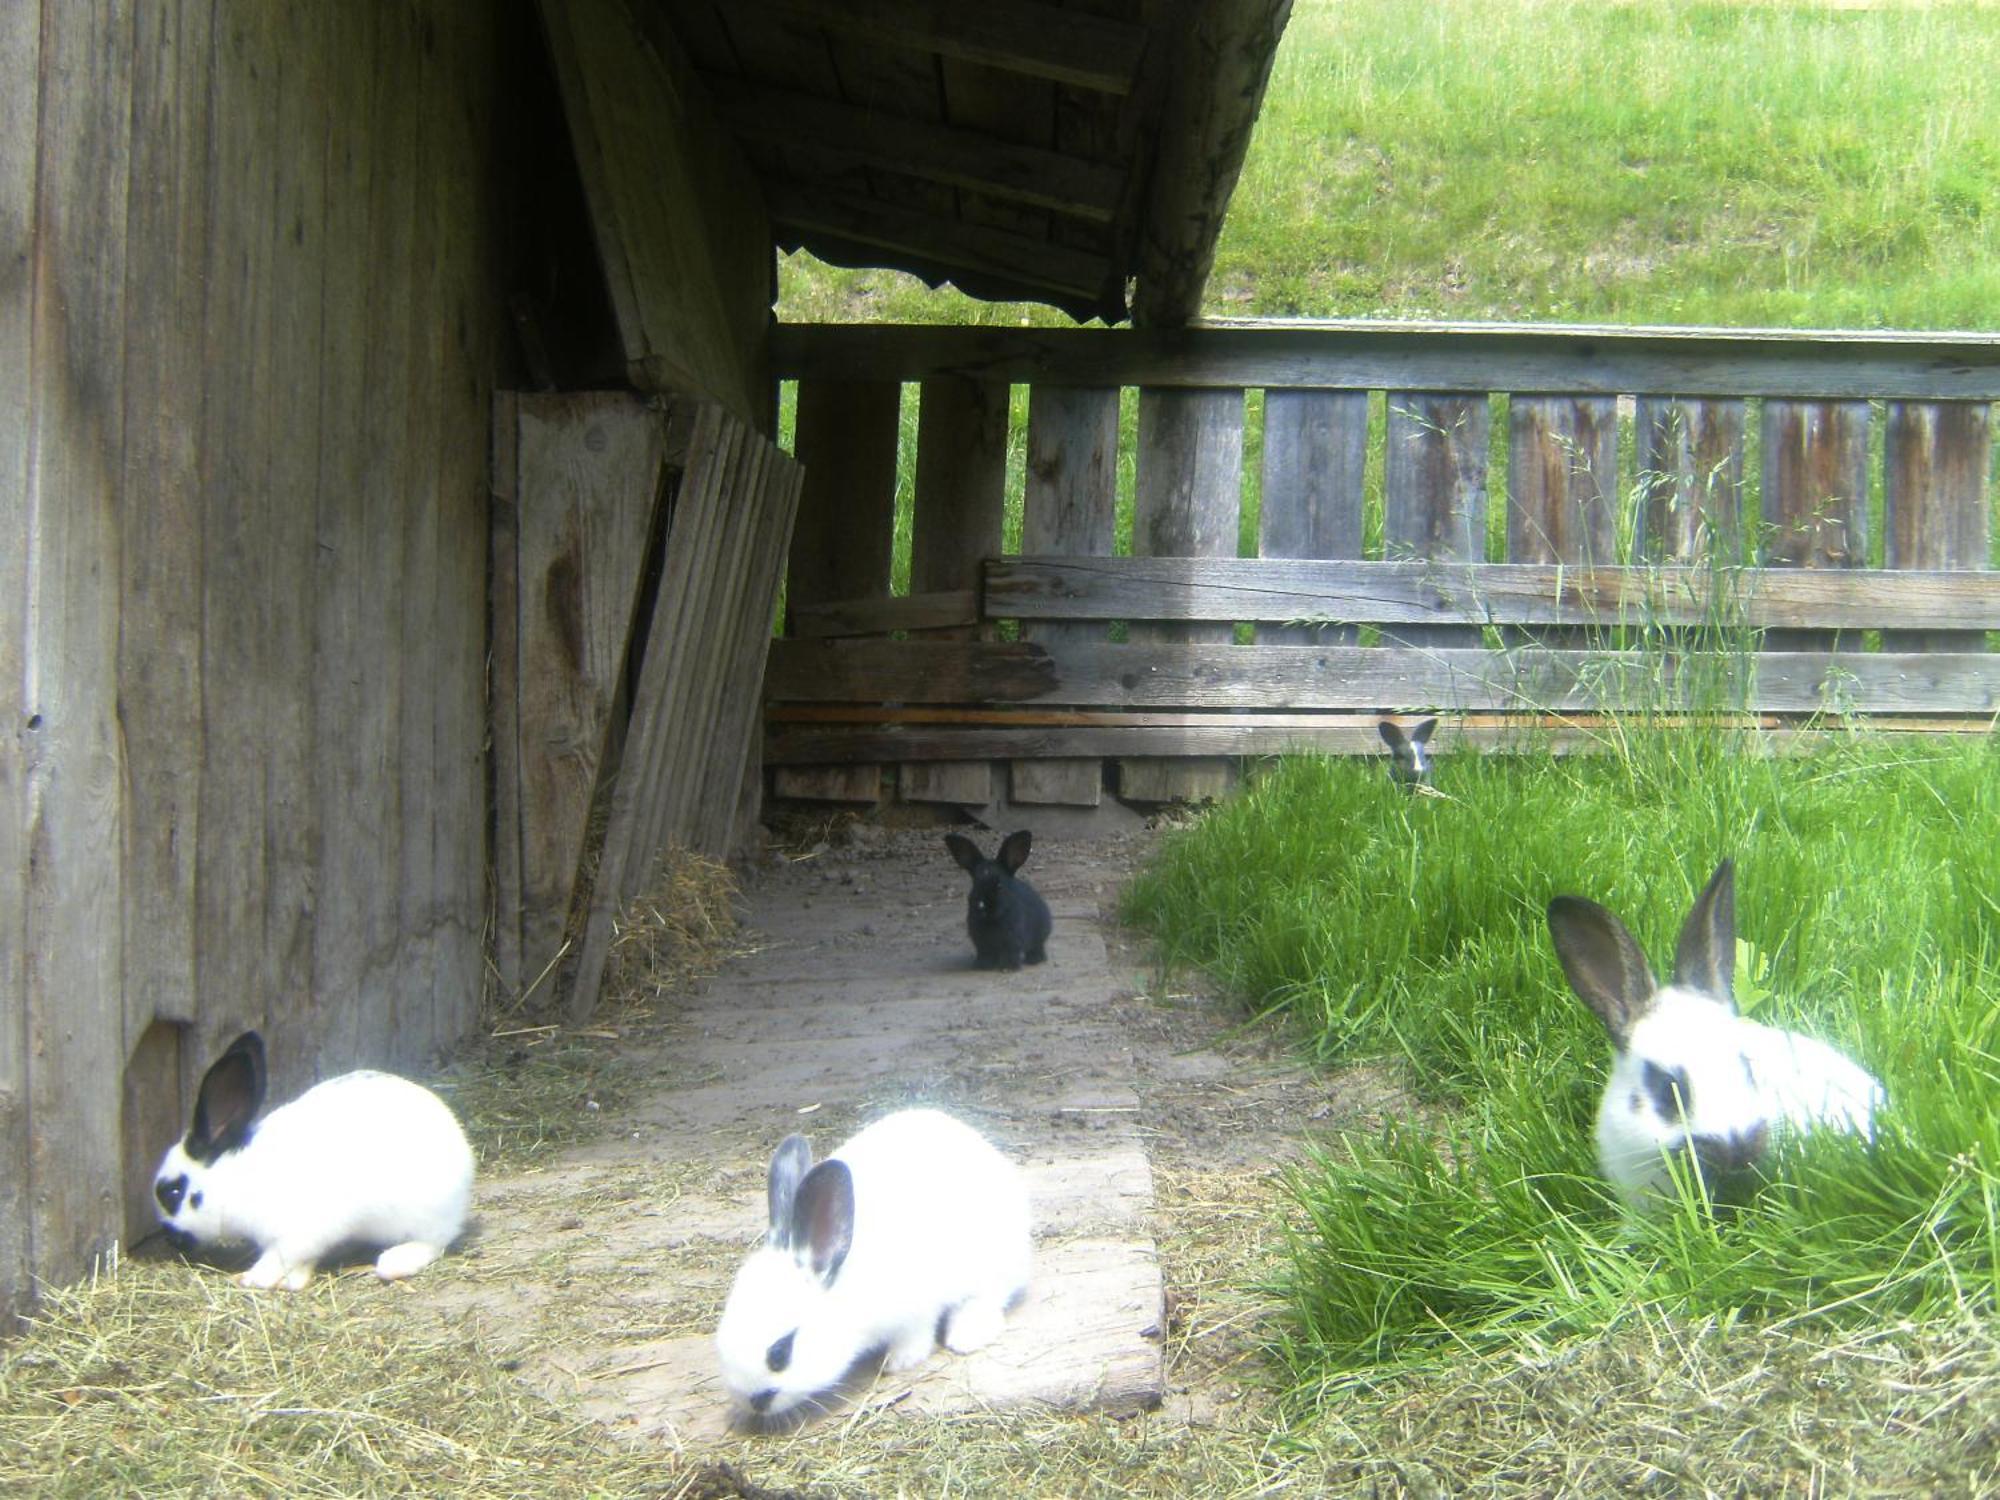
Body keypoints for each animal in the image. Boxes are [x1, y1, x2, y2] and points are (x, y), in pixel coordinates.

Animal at [154, 1032, 474, 1296]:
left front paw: (254, 1278)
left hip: (424, 1216)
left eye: (174, 1192)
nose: (171, 1240)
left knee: (436, 1240)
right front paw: (291, 1281)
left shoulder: (297, 1233)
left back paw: (394, 1262)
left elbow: (278, 1257)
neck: (235, 1182)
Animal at [716, 1112, 1032, 1424]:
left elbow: (916, 1335)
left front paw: (900, 1362)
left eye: (780, 1353)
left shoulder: (916, 1309)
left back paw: (966, 1336)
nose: (750, 1401)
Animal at [944, 836, 1056, 976]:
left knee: (1037, 947)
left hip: (1040, 935)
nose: (982, 906)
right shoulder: (982, 944)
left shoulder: (1013, 940)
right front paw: (982, 966)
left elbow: (1011, 953)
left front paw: (1008, 968)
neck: (991, 920)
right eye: (975, 885)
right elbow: (985, 954)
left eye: (999, 885)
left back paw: (1034, 959)